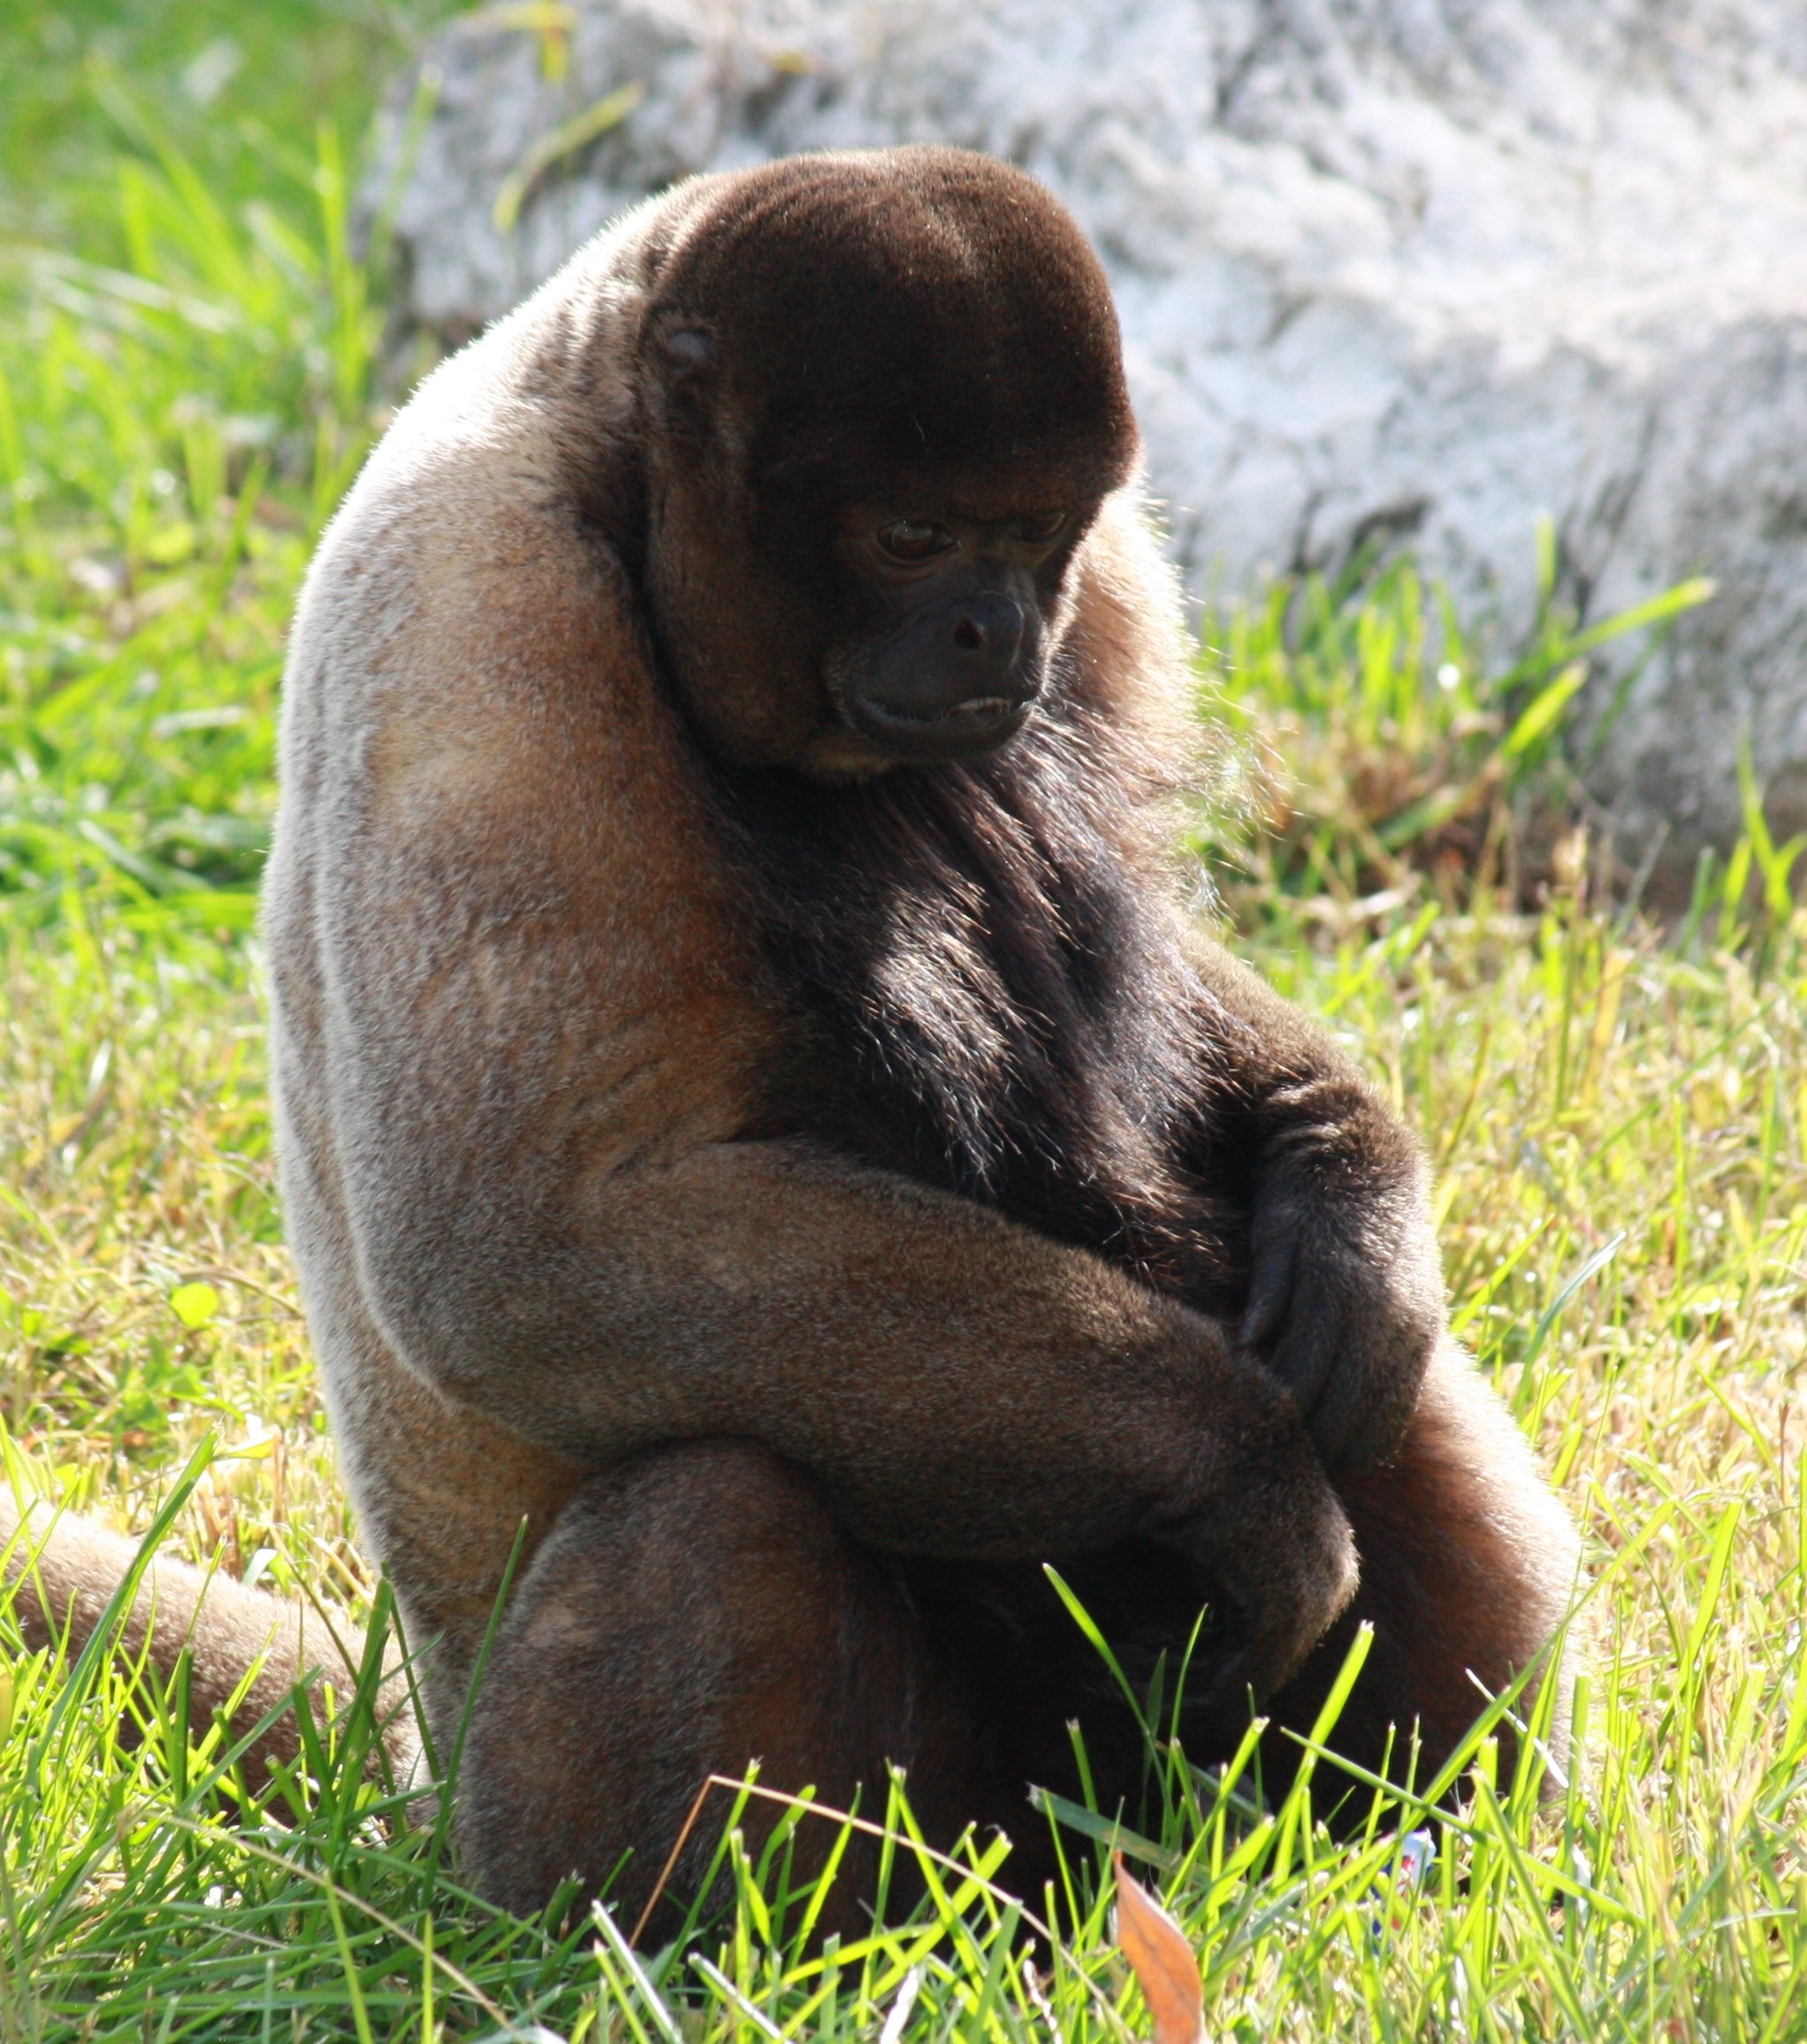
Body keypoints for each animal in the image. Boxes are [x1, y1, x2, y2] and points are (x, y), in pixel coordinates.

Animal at [5, 146, 1581, 1934]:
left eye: (1032, 537)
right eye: (909, 537)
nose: (994, 634)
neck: (606, 415)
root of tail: (414, 1756)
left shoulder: (1112, 582)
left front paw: (1346, 1165)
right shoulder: (476, 621)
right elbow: (524, 1253)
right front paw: (1236, 1467)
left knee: (1383, 1379)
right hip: (571, 1801)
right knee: (713, 1504)